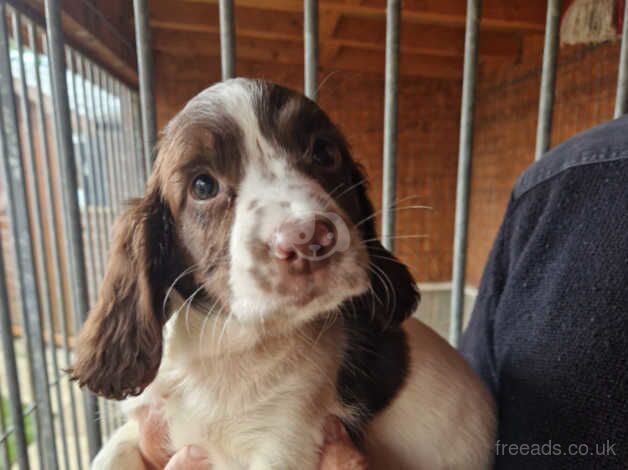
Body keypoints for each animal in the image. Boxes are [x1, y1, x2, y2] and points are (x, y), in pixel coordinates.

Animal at [71, 79, 496, 468]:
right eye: (203, 185)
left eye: (324, 152)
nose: (309, 238)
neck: (227, 343)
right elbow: (110, 455)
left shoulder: (286, 441)